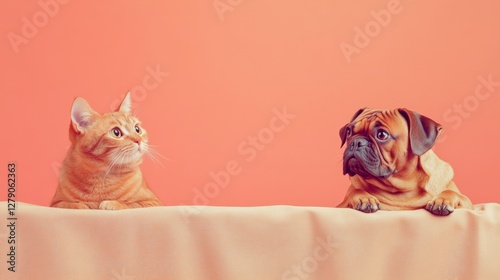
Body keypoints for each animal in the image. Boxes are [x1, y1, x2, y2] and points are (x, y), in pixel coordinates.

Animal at [336, 108, 472, 215]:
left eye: (382, 135)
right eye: (348, 131)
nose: (356, 142)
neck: (401, 188)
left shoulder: (469, 204)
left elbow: (453, 193)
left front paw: (442, 200)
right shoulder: (339, 206)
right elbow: (355, 191)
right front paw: (364, 198)